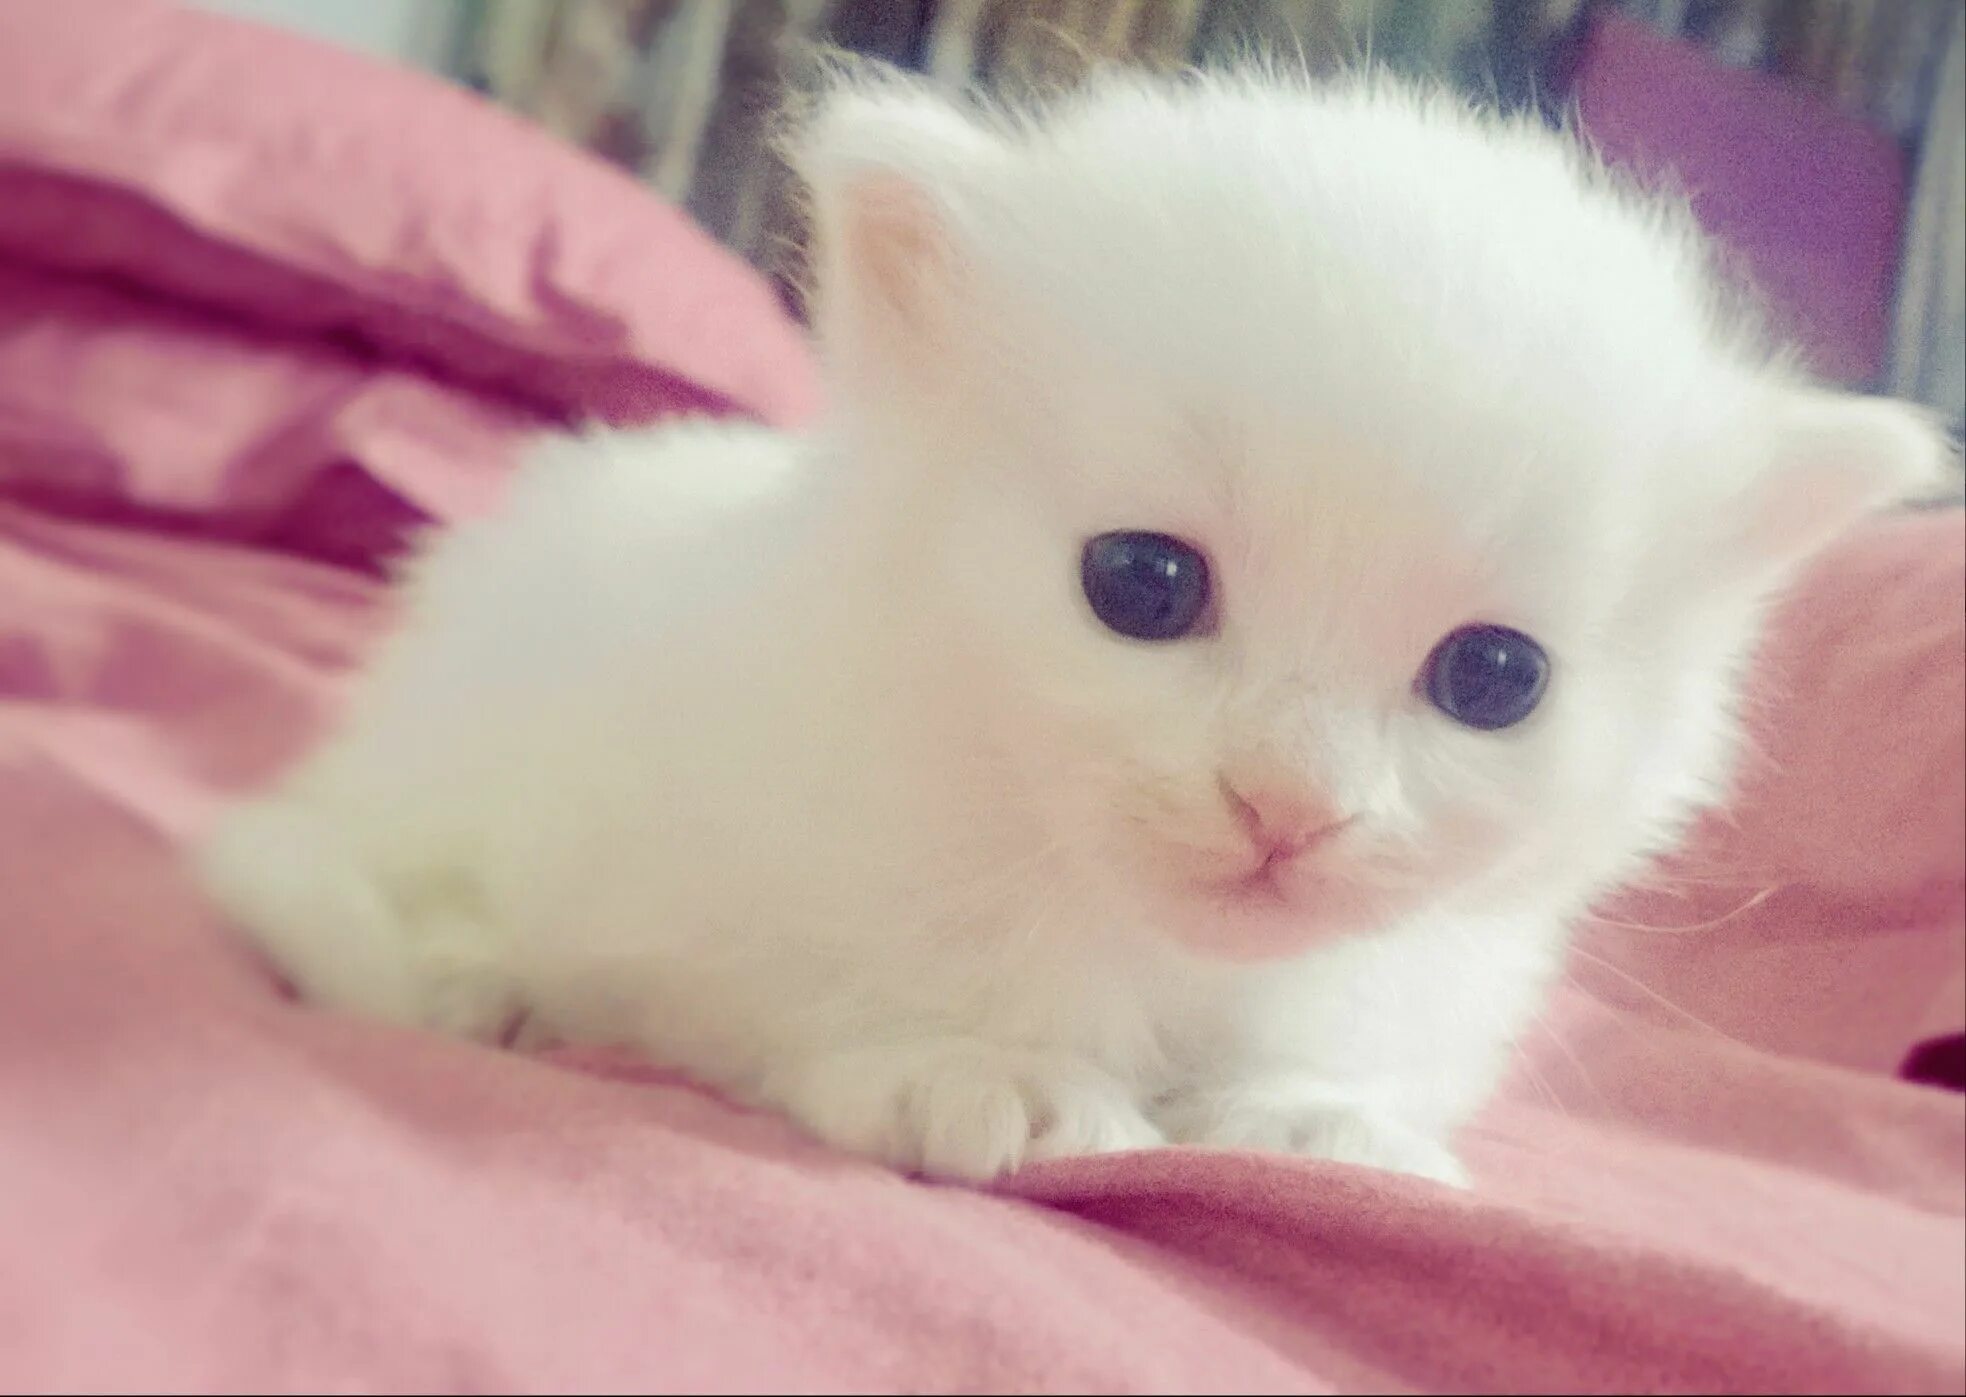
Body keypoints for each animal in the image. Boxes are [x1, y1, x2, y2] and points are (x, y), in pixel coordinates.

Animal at [191, 62, 1942, 1178]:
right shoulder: (672, 879)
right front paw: (983, 1069)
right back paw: (461, 977)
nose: (1287, 805)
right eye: (1141, 584)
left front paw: (1315, 1116)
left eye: (1493, 678)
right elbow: (781, 994)